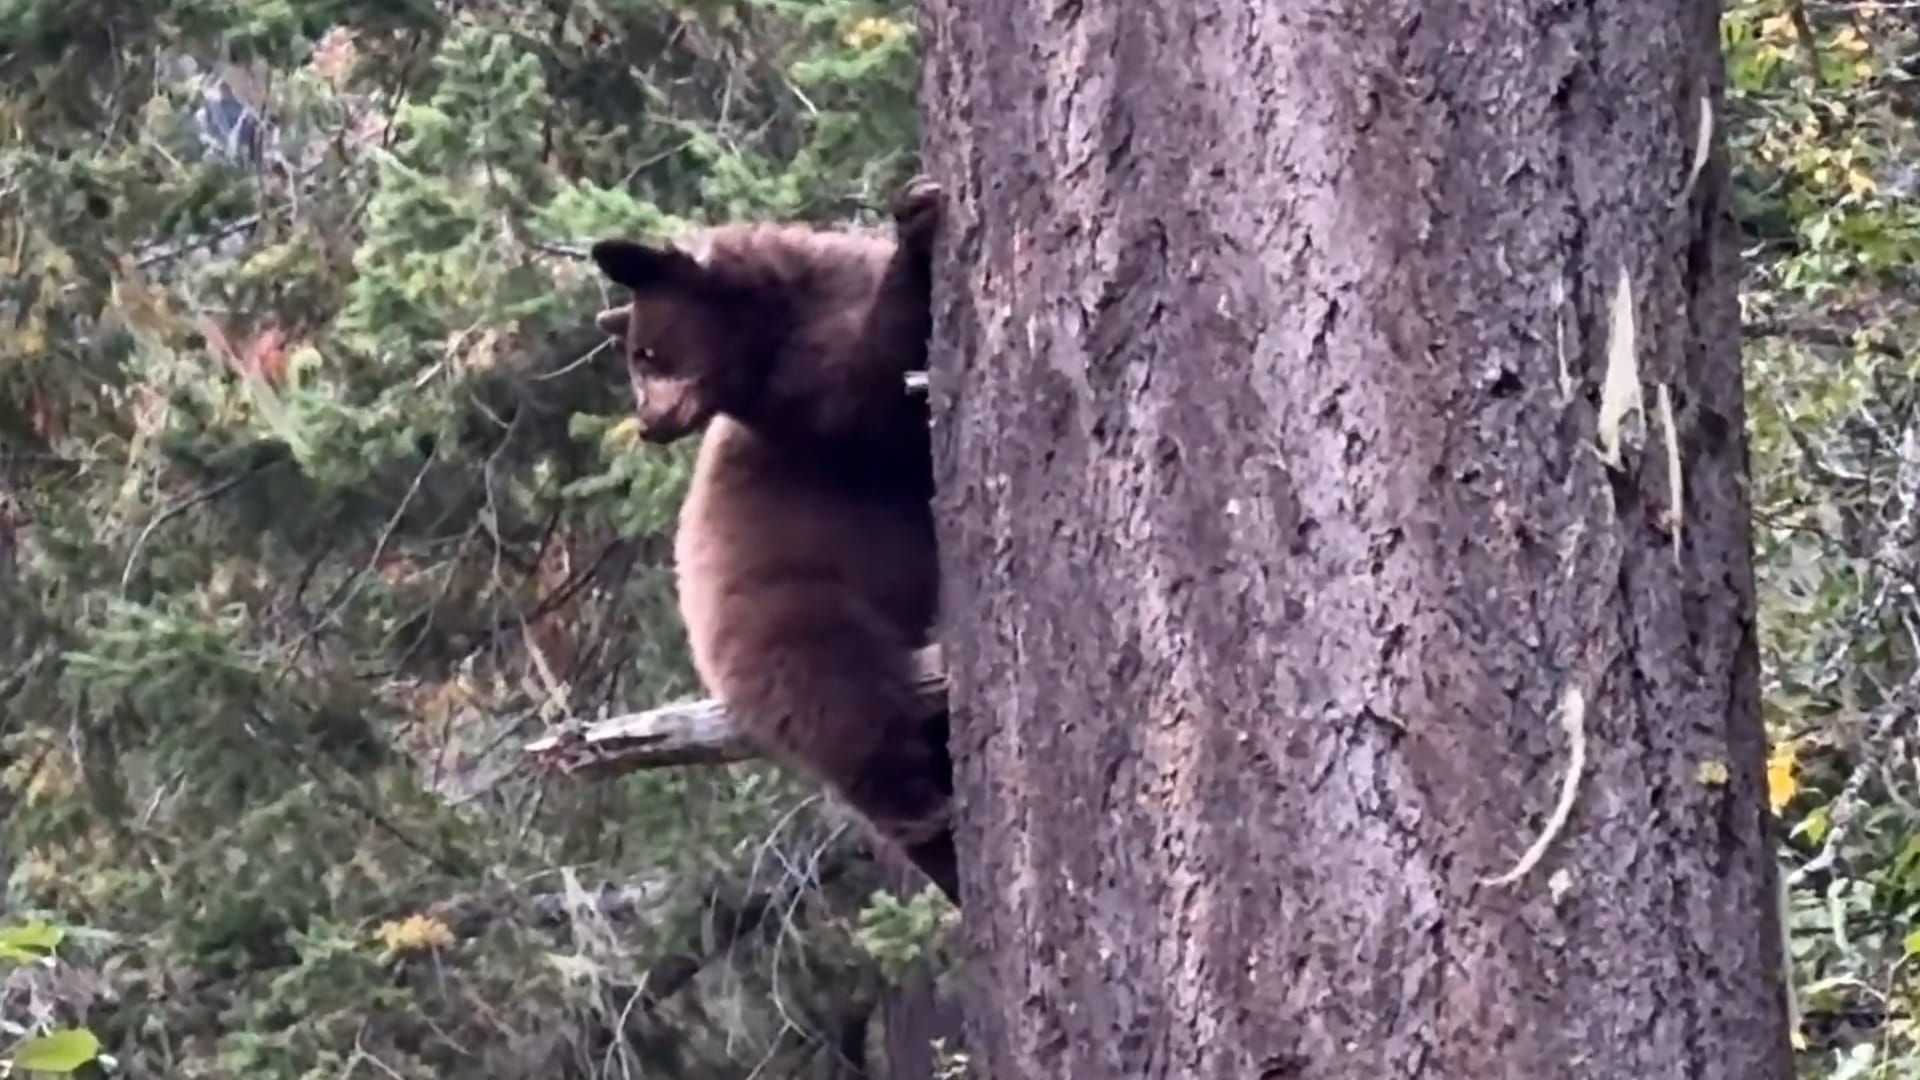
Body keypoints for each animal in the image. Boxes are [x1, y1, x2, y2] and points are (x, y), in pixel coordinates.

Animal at [589, 177, 957, 903]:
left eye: (645, 353)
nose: (646, 422)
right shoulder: (806, 409)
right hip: (787, 619)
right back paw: (923, 812)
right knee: (845, 704)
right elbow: (876, 393)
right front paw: (917, 228)